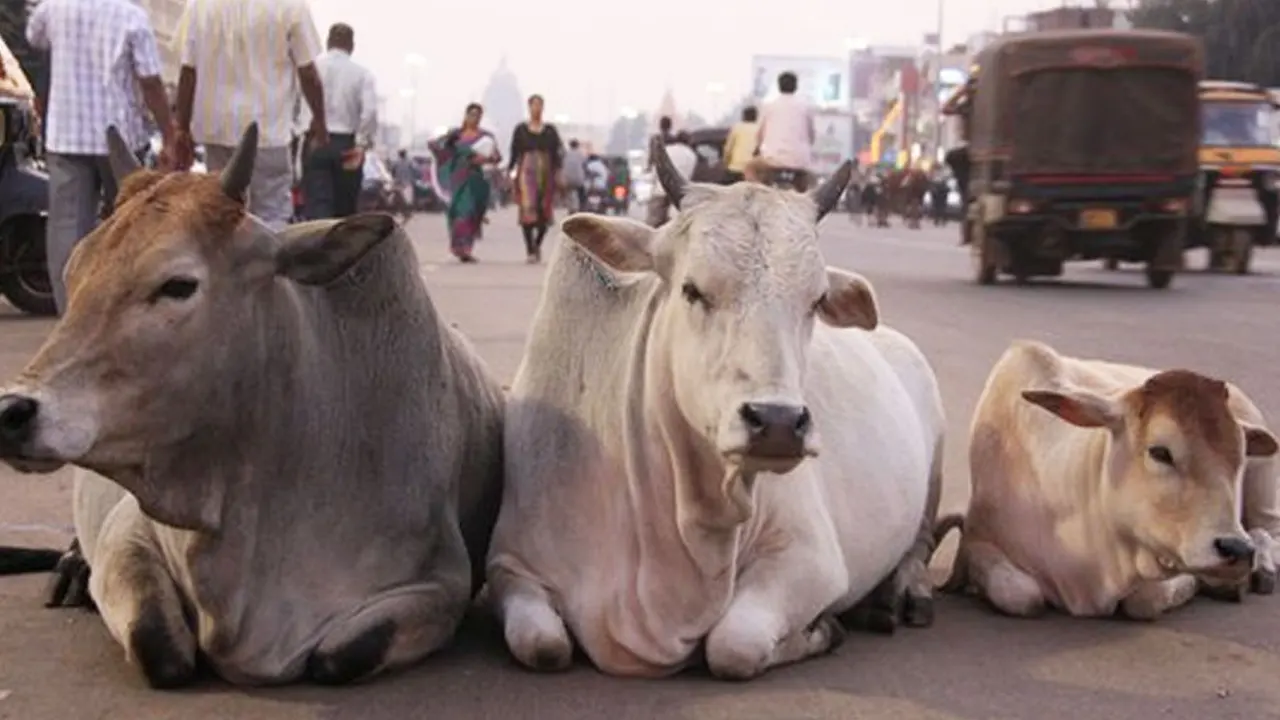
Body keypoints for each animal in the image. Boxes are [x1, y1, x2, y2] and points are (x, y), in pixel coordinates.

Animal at [0, 126, 506, 686]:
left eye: (178, 285)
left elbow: (338, 658)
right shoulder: (128, 532)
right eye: (73, 273)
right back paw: (70, 570)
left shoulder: (441, 582)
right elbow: (159, 648)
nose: (12, 411)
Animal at [483, 141, 947, 676]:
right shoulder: (510, 564)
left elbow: (733, 646)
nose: (778, 423)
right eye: (692, 289)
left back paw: (903, 594)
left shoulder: (812, 559)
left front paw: (822, 629)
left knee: (919, 544)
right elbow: (543, 646)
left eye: (816, 301)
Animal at [942, 340, 1280, 617]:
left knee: (1267, 529)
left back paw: (1262, 567)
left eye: (1240, 457)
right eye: (1160, 452)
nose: (1236, 550)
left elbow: (1145, 601)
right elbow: (1020, 595)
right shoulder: (979, 541)